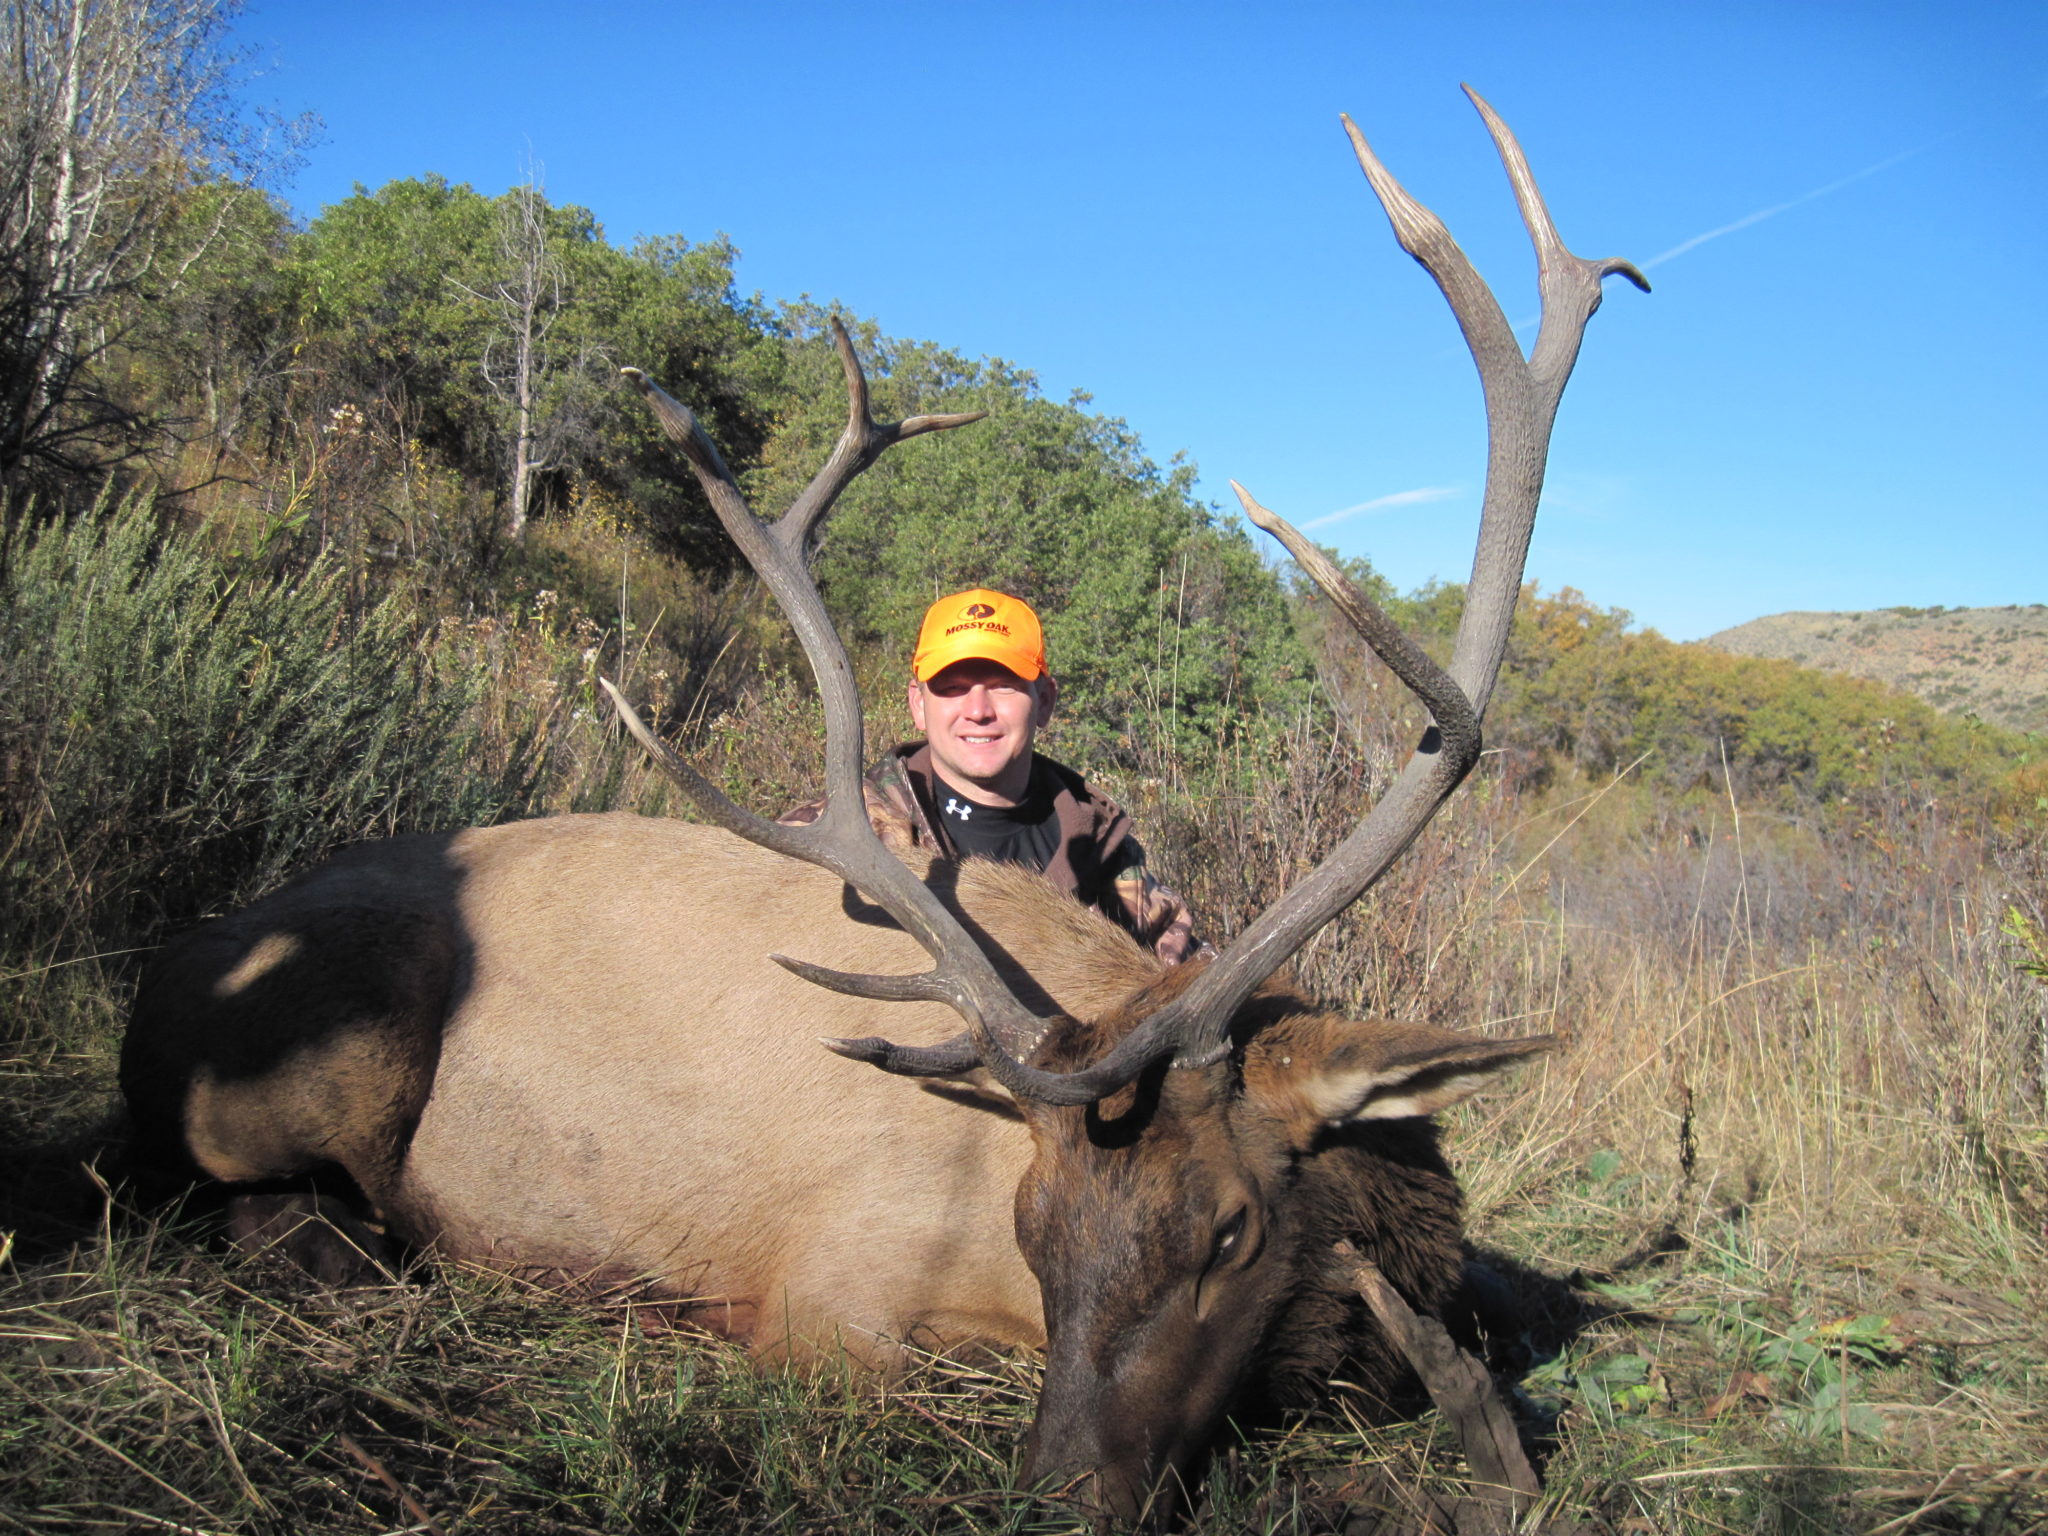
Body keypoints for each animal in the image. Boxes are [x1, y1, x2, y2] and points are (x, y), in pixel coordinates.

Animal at [119, 93, 1638, 1531]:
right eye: (1035, 1223)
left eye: (1230, 1232)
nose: (1064, 1496)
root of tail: (159, 979)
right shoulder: (836, 1291)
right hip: (321, 1048)